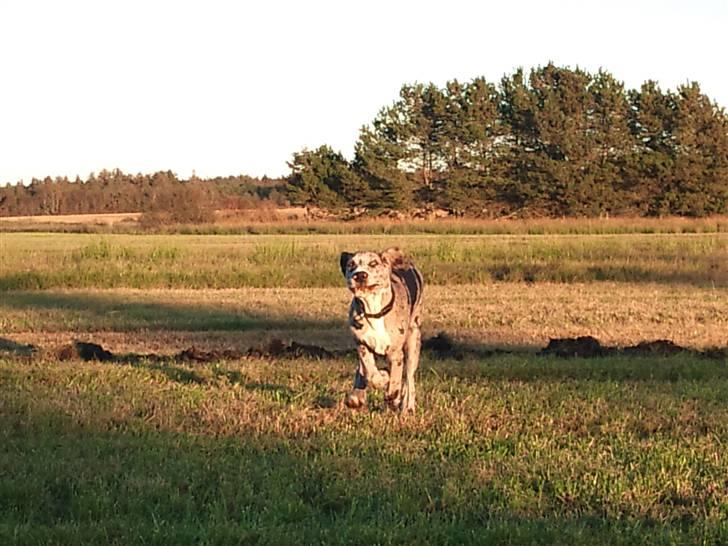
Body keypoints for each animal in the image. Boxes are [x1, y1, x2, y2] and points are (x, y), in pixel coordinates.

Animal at [338, 246, 424, 412]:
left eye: (374, 263)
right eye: (351, 265)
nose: (360, 275)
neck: (374, 311)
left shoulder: (396, 353)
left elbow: (396, 379)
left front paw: (393, 394)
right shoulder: (362, 344)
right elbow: (370, 372)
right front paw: (382, 377)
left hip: (413, 340)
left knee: (409, 378)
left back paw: (408, 406)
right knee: (362, 371)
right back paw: (356, 396)